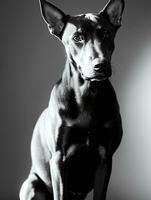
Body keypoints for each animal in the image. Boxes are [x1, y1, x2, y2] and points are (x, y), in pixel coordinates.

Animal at [19, 0, 124, 200]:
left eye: (106, 34)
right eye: (78, 37)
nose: (100, 65)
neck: (87, 94)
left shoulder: (104, 160)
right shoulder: (59, 159)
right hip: (32, 186)